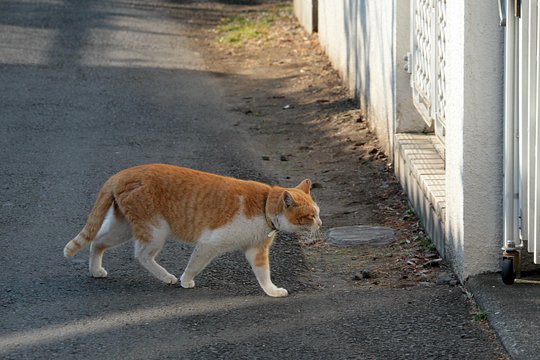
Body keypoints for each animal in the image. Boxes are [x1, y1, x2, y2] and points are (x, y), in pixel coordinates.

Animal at [63, 165, 320, 296]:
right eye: (310, 215)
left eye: (318, 212)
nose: (319, 224)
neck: (264, 206)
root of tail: (121, 173)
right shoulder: (210, 243)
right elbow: (195, 264)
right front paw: (186, 280)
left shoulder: (256, 251)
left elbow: (263, 273)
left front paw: (271, 291)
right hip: (155, 230)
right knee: (142, 255)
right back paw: (167, 277)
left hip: (123, 228)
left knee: (97, 242)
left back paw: (96, 270)